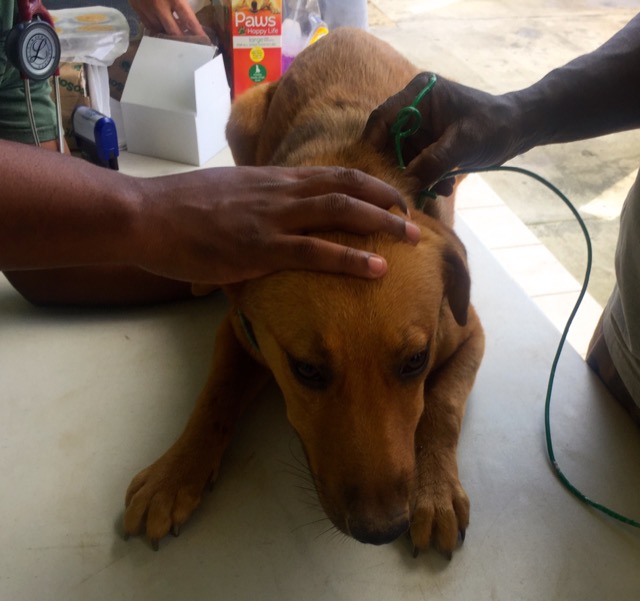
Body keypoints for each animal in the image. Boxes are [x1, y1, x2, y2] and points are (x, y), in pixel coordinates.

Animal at [124, 27, 484, 552]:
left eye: (416, 361)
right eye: (307, 371)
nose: (381, 531)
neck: (351, 168)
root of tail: (345, 30)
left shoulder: (469, 332)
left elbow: (443, 407)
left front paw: (434, 491)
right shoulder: (240, 333)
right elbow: (214, 396)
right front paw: (176, 472)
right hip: (242, 115)